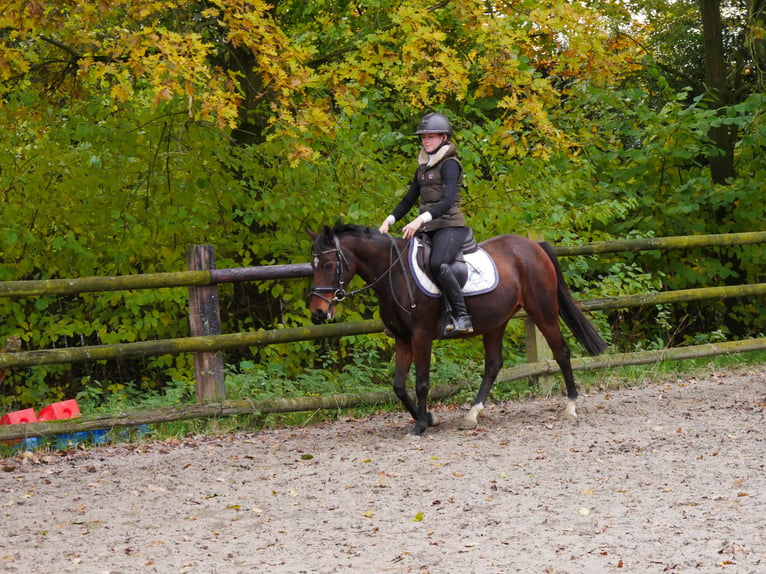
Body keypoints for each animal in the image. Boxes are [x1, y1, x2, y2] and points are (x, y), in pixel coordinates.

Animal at [308, 225, 608, 436]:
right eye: (313, 266)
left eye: (329, 265)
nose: (318, 312)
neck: (395, 274)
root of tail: (533, 246)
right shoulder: (403, 339)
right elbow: (398, 386)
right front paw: (428, 418)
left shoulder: (421, 337)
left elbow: (421, 383)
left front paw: (420, 425)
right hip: (496, 322)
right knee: (493, 365)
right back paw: (472, 415)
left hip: (542, 312)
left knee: (561, 353)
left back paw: (570, 407)